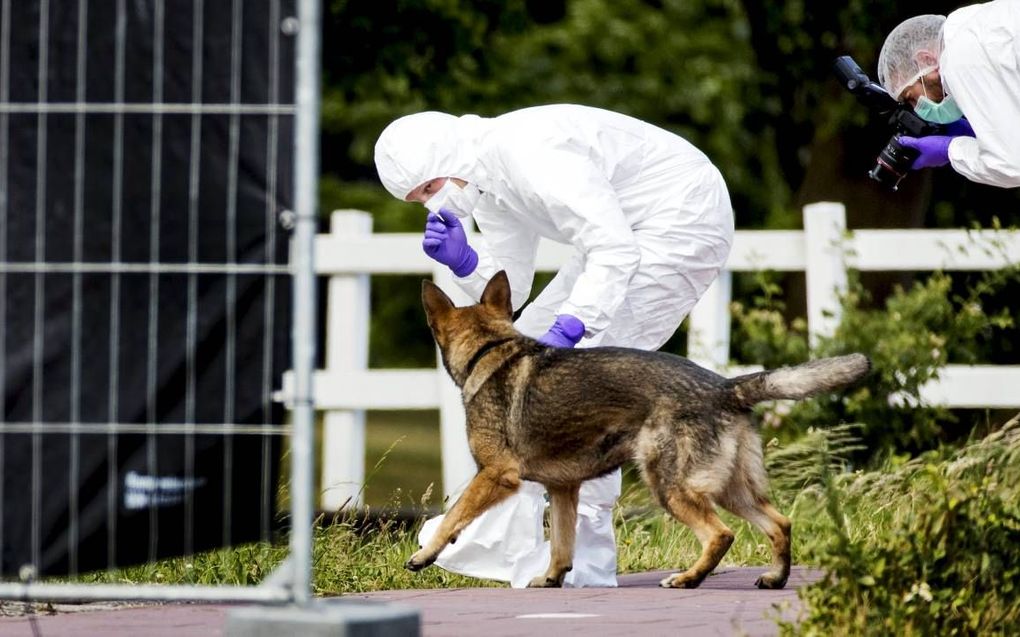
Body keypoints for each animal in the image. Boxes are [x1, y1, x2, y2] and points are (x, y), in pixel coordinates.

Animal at [410, 271, 873, 587]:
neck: (490, 348)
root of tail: (726, 387)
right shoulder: (563, 490)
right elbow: (562, 545)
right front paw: (552, 579)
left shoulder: (494, 476)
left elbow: (452, 518)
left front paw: (424, 555)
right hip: (730, 489)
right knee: (779, 524)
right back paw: (775, 579)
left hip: (670, 487)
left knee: (720, 534)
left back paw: (688, 579)